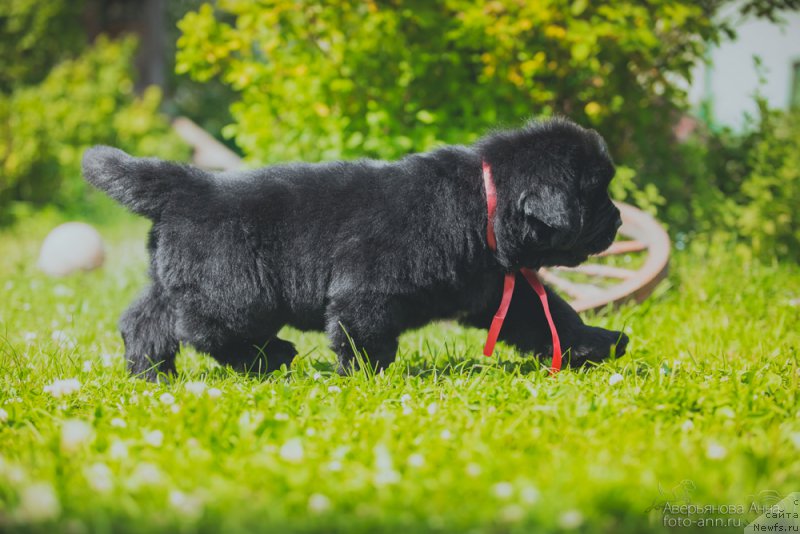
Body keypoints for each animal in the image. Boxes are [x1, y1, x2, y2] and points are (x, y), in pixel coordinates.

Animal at [84, 120, 628, 382]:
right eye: (596, 194)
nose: (621, 219)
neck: (481, 203)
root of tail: (189, 185)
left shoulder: (495, 289)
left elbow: (549, 314)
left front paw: (596, 343)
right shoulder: (368, 289)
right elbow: (363, 332)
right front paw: (367, 375)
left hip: (172, 277)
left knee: (145, 320)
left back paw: (151, 373)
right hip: (235, 289)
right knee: (204, 328)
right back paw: (270, 356)